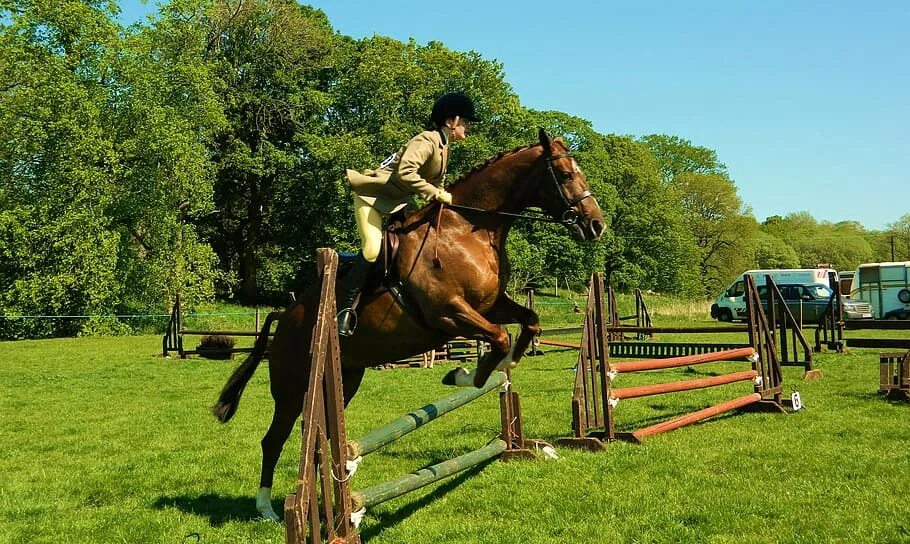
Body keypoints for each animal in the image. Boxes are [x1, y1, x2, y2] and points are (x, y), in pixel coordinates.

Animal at [214, 129, 604, 524]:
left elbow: (528, 325)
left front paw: (502, 367)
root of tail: (286, 315)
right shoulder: (448, 313)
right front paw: (462, 375)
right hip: (293, 387)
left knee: (320, 440)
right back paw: (267, 509)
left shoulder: (491, 305)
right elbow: (498, 338)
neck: (467, 231)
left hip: (344, 377)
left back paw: (344, 473)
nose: (596, 224)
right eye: (566, 175)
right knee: (274, 439)